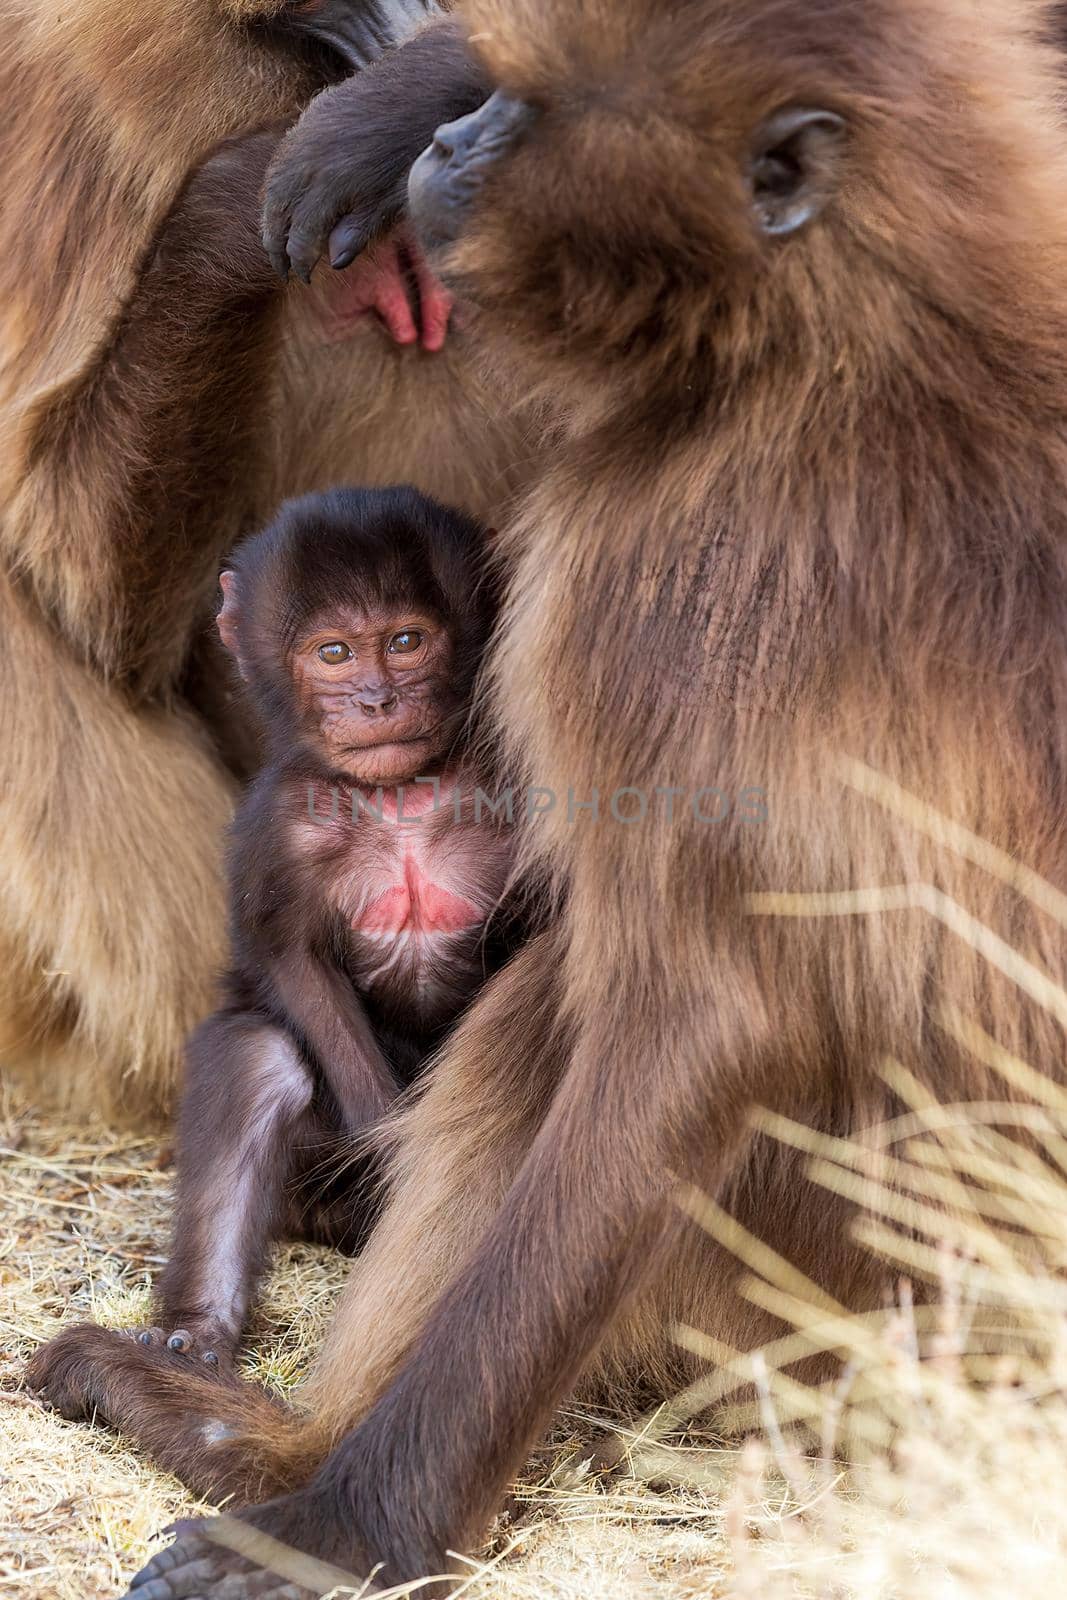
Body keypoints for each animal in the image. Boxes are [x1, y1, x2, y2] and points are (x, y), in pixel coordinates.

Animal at [141, 483, 518, 1363]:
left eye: (406, 641)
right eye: (335, 654)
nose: (377, 701)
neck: (400, 798)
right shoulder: (277, 827)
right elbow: (296, 968)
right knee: (257, 1058)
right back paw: (195, 1334)